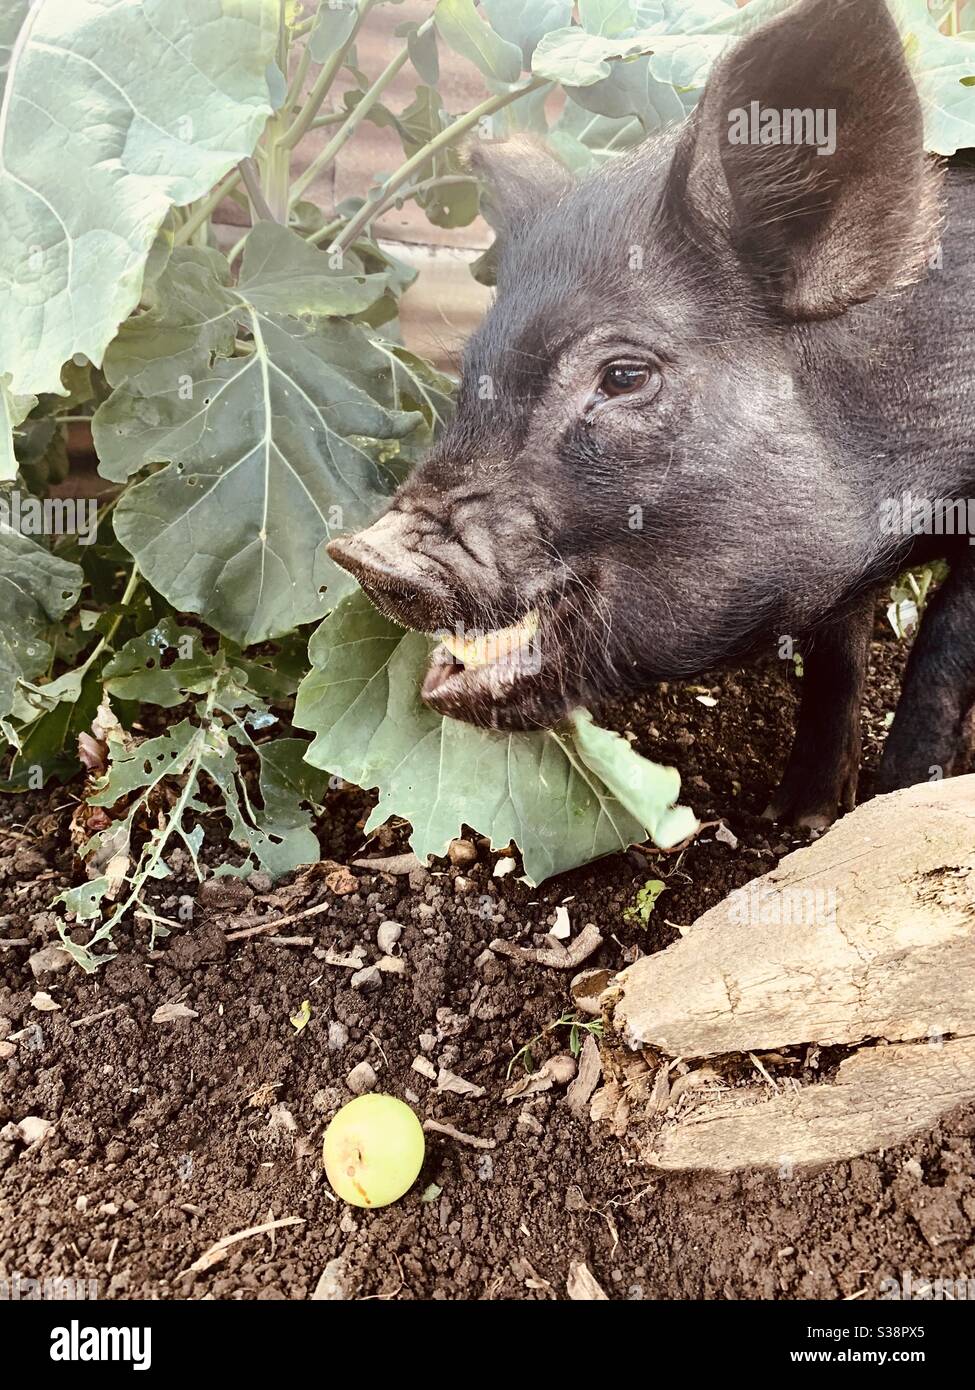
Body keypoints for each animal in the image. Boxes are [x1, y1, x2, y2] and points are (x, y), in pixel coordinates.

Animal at [329, 0, 975, 831]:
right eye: (472, 371)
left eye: (624, 375)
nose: (364, 555)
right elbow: (836, 653)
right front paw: (796, 818)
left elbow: (941, 655)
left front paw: (892, 807)